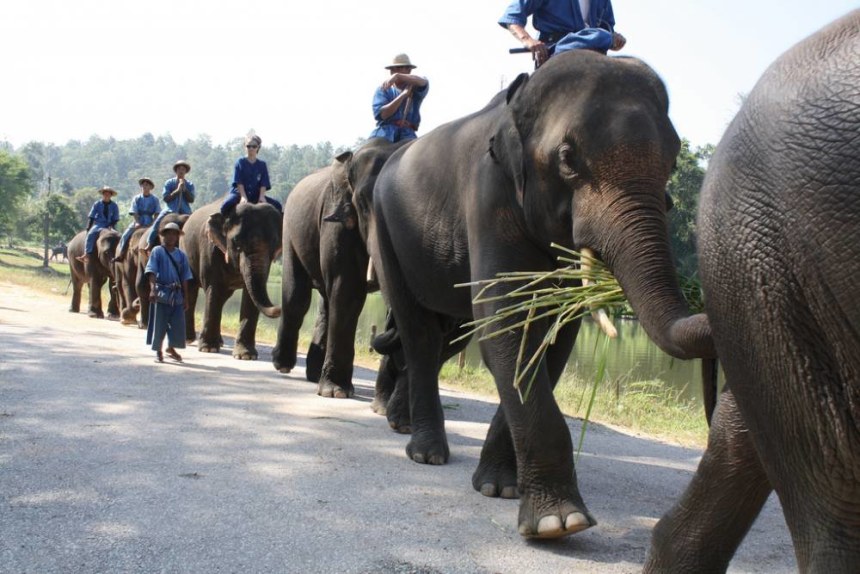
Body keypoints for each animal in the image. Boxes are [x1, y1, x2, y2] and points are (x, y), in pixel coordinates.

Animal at [181, 200, 282, 360]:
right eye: (236, 242)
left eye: (275, 243)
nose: (279, 307)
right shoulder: (210, 248)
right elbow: (213, 289)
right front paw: (208, 349)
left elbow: (249, 296)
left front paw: (246, 356)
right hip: (185, 251)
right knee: (191, 291)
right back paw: (188, 339)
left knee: (223, 297)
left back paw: (218, 342)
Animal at [271, 138, 408, 398]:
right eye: (363, 202)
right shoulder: (337, 218)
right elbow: (347, 289)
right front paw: (336, 393)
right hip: (290, 228)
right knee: (297, 295)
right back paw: (282, 364)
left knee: (325, 301)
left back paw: (314, 375)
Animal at [368, 49, 714, 540]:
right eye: (568, 159)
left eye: (673, 161)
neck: (519, 103)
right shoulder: (488, 195)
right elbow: (508, 323)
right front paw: (559, 523)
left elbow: (553, 338)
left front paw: (500, 487)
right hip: (384, 229)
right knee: (419, 333)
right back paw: (427, 453)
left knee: (444, 334)